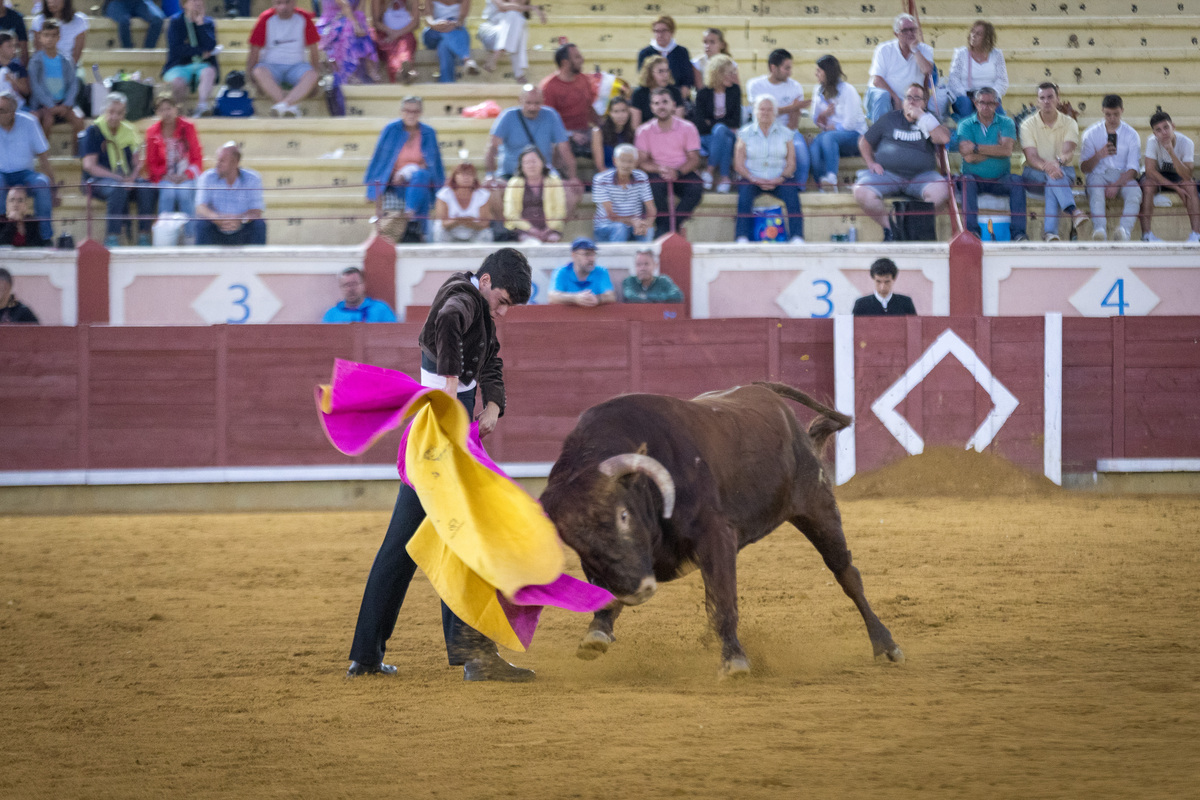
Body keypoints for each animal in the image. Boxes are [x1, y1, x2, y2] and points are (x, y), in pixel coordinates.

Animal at [540, 381, 902, 676]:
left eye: (624, 515)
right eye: (575, 542)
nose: (639, 589)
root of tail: (767, 393)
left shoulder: (715, 536)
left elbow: (722, 601)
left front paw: (734, 661)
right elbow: (605, 593)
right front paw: (596, 633)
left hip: (817, 506)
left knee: (846, 573)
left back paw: (885, 644)